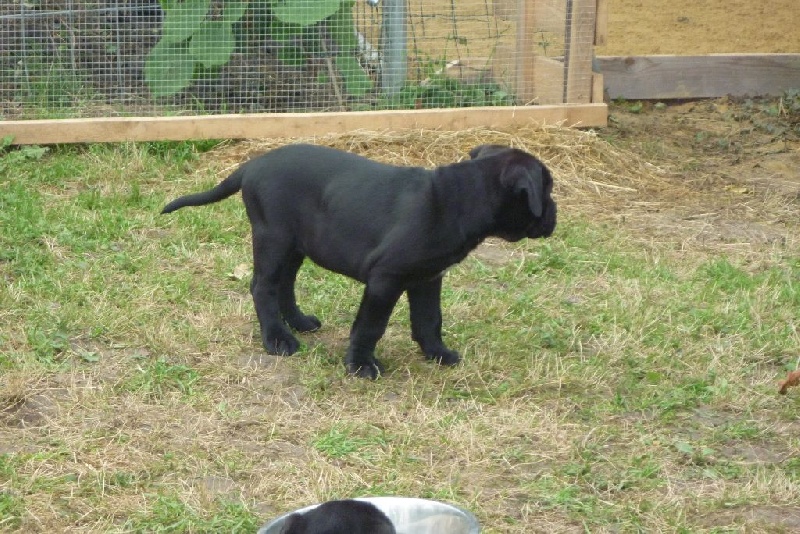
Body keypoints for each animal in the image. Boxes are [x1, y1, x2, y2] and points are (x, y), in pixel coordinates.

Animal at [159, 142, 552, 378]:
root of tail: (252, 165)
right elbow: (370, 326)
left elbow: (429, 320)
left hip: (297, 245)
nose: (554, 214)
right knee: (264, 287)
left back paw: (299, 323)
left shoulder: (427, 279)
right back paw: (278, 339)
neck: (461, 196)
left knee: (285, 285)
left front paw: (438, 354)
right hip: (273, 238)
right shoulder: (385, 279)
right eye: (547, 190)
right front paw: (361, 365)